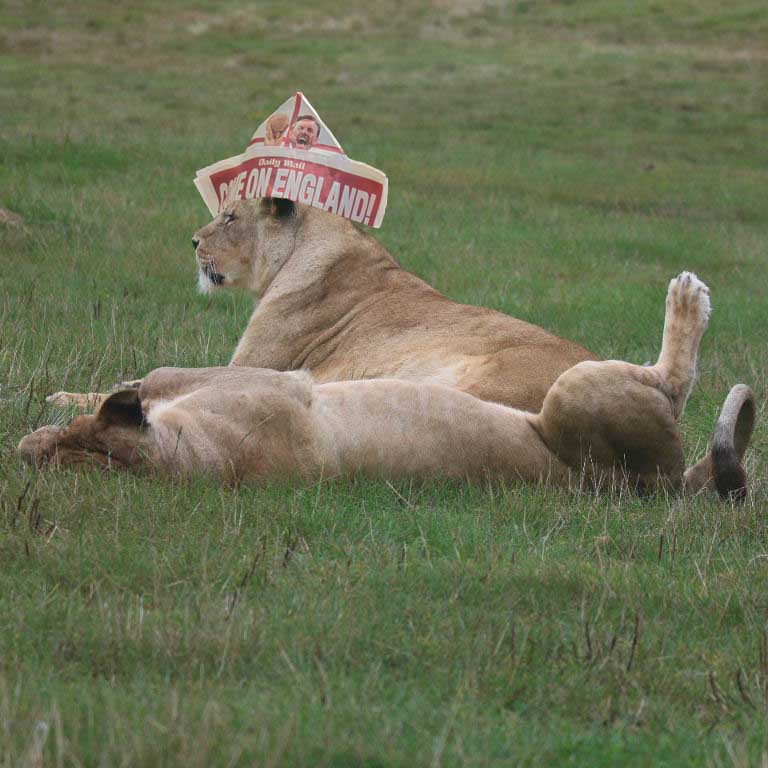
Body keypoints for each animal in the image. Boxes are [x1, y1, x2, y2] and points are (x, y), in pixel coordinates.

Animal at [23, 274, 755, 501]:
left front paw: (50, 403)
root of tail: (665, 487)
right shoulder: (284, 382)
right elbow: (153, 378)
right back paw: (688, 299)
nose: (30, 443)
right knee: (674, 386)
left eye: (58, 441)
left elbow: (144, 378)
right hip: (573, 395)